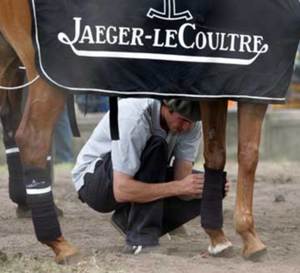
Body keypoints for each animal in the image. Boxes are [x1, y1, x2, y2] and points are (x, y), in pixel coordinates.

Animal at [0, 0, 268, 260]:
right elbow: (245, 155)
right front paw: (246, 236)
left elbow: (219, 154)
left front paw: (219, 236)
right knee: (33, 138)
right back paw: (60, 244)